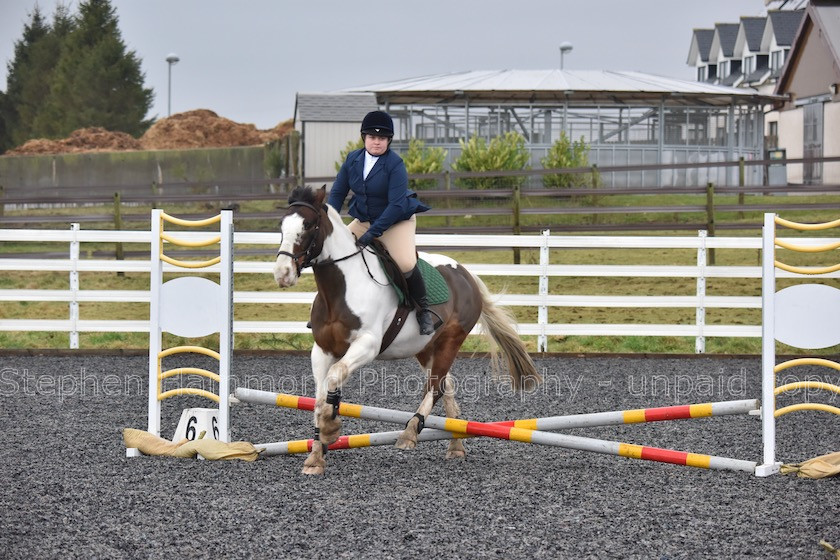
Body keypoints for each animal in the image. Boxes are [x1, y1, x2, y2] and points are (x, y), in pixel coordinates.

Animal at [272, 186, 540, 474]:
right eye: (282, 226)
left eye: (308, 225)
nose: (283, 274)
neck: (340, 290)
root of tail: (467, 275)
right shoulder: (321, 350)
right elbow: (321, 396)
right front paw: (316, 456)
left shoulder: (367, 345)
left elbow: (334, 376)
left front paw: (330, 429)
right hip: (425, 347)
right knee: (446, 384)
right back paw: (455, 446)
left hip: (451, 340)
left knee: (435, 387)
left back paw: (410, 433)